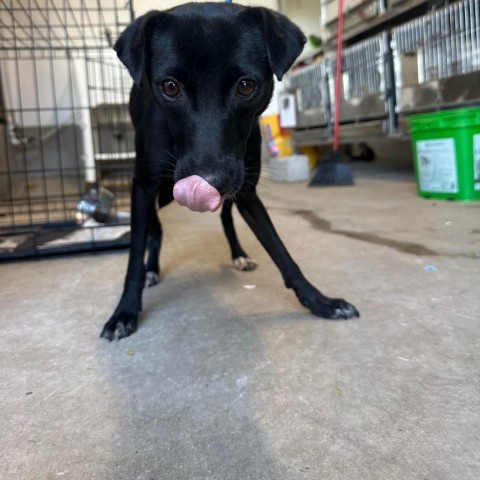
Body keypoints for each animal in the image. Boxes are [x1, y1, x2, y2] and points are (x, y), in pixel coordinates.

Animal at [100, 3, 356, 342]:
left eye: (246, 86)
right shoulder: (141, 187)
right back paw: (152, 269)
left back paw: (239, 254)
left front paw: (320, 302)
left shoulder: (246, 191)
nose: (210, 182)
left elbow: (282, 253)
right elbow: (133, 258)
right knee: (156, 229)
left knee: (224, 217)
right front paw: (124, 312)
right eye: (170, 87)